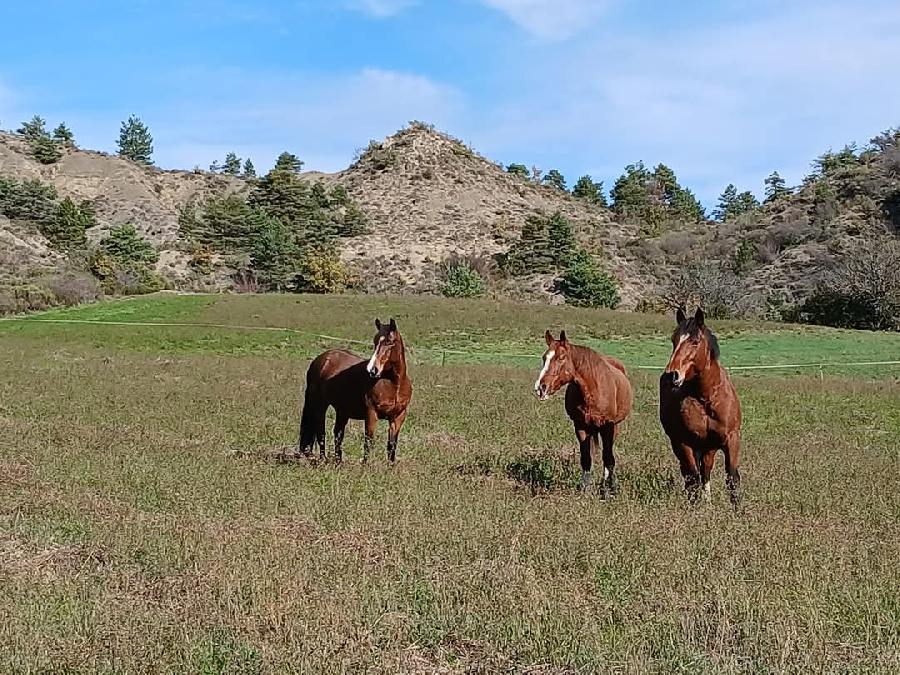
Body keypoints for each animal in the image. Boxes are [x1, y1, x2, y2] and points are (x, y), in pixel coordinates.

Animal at [298, 320, 414, 462]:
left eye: (389, 342)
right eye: (375, 341)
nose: (372, 370)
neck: (394, 384)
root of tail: (321, 359)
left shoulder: (398, 417)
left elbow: (392, 445)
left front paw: (390, 466)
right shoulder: (371, 414)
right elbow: (368, 442)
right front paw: (366, 465)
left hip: (342, 411)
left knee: (338, 434)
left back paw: (338, 461)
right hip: (320, 405)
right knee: (321, 432)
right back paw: (324, 460)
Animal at [536, 330, 632, 494]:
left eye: (561, 357)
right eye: (544, 357)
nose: (541, 387)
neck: (593, 388)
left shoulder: (608, 426)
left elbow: (608, 458)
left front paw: (607, 490)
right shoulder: (580, 426)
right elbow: (586, 458)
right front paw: (585, 488)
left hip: (614, 427)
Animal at [656, 306, 740, 508]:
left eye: (694, 342)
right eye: (674, 340)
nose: (672, 375)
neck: (706, 399)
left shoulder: (731, 440)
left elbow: (732, 478)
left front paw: (739, 511)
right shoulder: (684, 442)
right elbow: (692, 478)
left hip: (708, 448)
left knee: (705, 473)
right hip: (683, 445)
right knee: (691, 475)